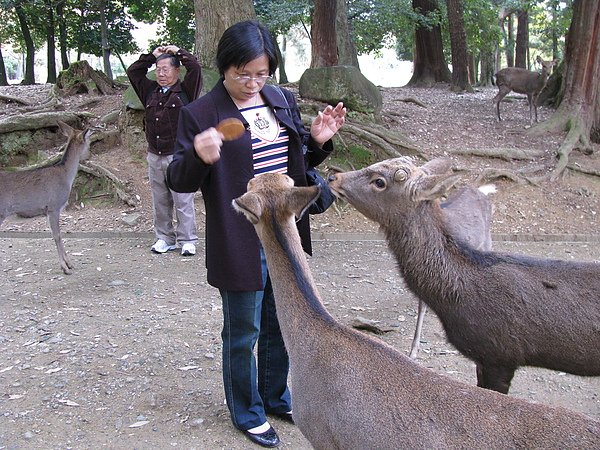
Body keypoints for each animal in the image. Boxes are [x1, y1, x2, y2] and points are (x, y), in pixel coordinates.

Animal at [0, 119, 92, 274]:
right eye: (89, 142)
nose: (90, 155)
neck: (66, 177)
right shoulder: (53, 206)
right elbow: (57, 235)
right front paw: (65, 266)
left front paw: (69, 264)